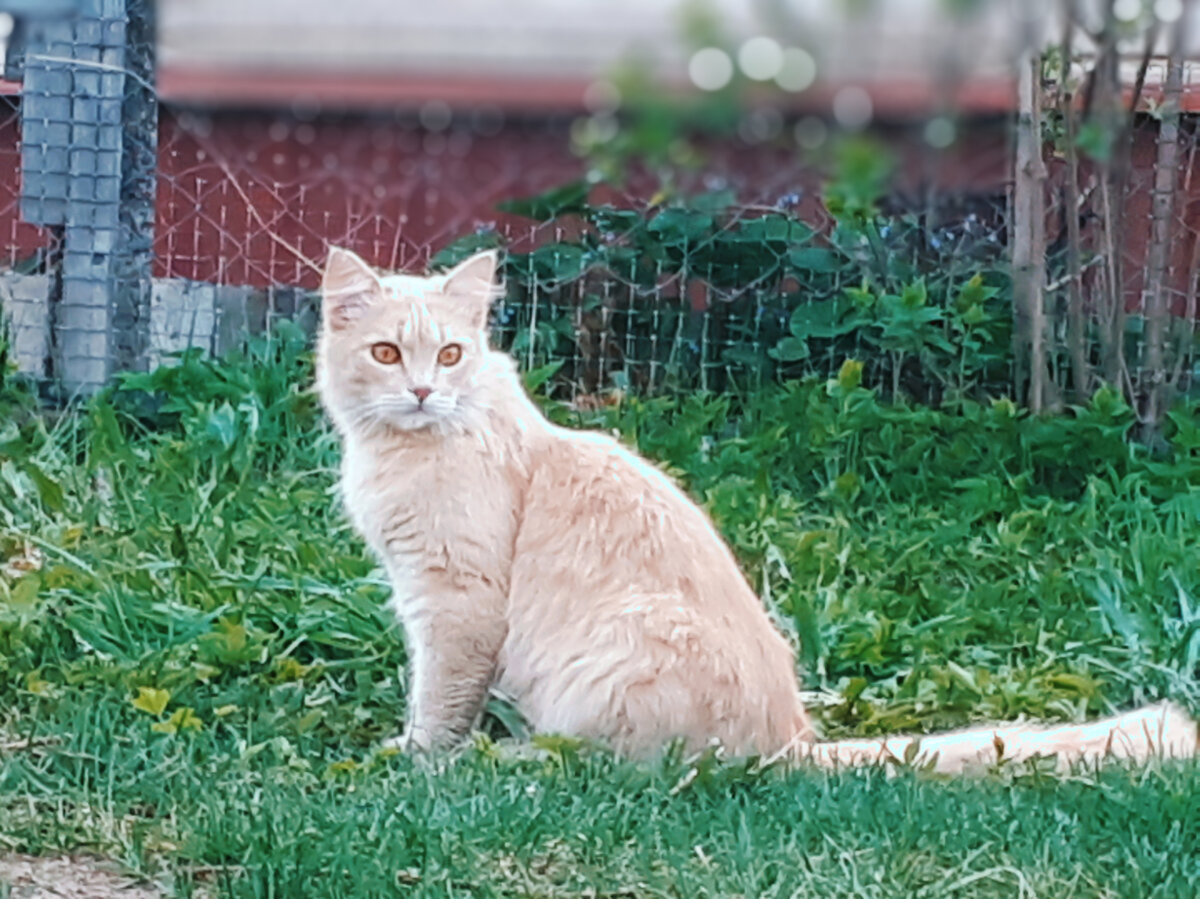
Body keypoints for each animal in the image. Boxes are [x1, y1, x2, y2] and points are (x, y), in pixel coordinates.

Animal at [319, 246, 1200, 772]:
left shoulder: (455, 599)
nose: (423, 391)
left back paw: (514, 759)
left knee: (617, 764)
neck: (407, 451)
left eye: (451, 354)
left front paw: (418, 755)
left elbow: (440, 696)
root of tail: (795, 739)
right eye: (388, 353)